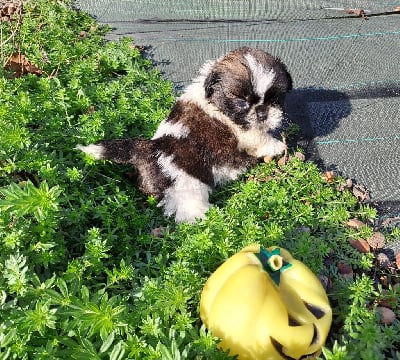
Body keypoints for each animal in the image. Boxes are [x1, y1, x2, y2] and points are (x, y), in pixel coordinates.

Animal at [76, 46, 292, 224]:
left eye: (275, 99)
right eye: (242, 101)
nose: (262, 112)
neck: (214, 102)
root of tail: (151, 148)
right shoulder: (243, 131)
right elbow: (258, 137)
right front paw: (277, 146)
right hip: (187, 185)